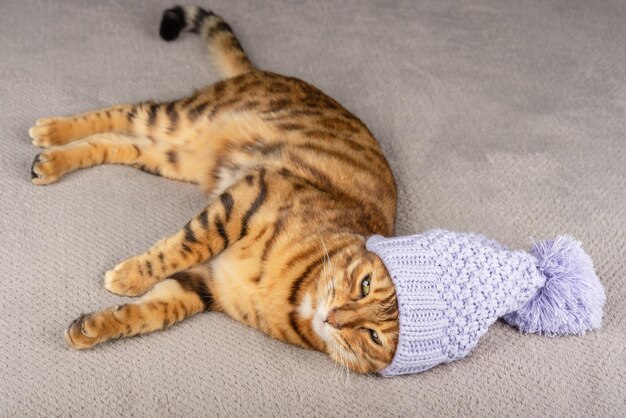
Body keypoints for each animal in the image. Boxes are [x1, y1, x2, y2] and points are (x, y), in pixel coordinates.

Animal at [29, 5, 398, 372]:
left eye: (373, 336)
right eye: (364, 285)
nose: (334, 317)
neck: (296, 295)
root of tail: (260, 71)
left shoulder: (205, 286)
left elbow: (152, 312)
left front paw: (94, 327)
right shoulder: (252, 193)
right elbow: (188, 244)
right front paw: (131, 276)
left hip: (176, 156)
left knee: (118, 142)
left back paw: (52, 160)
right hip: (186, 117)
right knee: (125, 112)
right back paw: (52, 131)